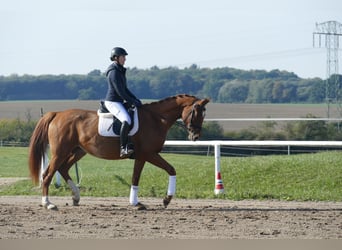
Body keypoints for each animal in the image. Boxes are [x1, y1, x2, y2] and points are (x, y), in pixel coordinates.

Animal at [28, 94, 208, 210]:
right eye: (195, 112)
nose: (195, 136)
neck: (156, 118)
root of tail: (57, 114)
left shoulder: (144, 156)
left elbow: (163, 171)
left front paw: (157, 200)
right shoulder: (147, 154)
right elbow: (152, 173)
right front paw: (156, 201)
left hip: (78, 151)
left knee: (63, 168)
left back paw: (76, 197)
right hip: (61, 152)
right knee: (48, 174)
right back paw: (48, 203)